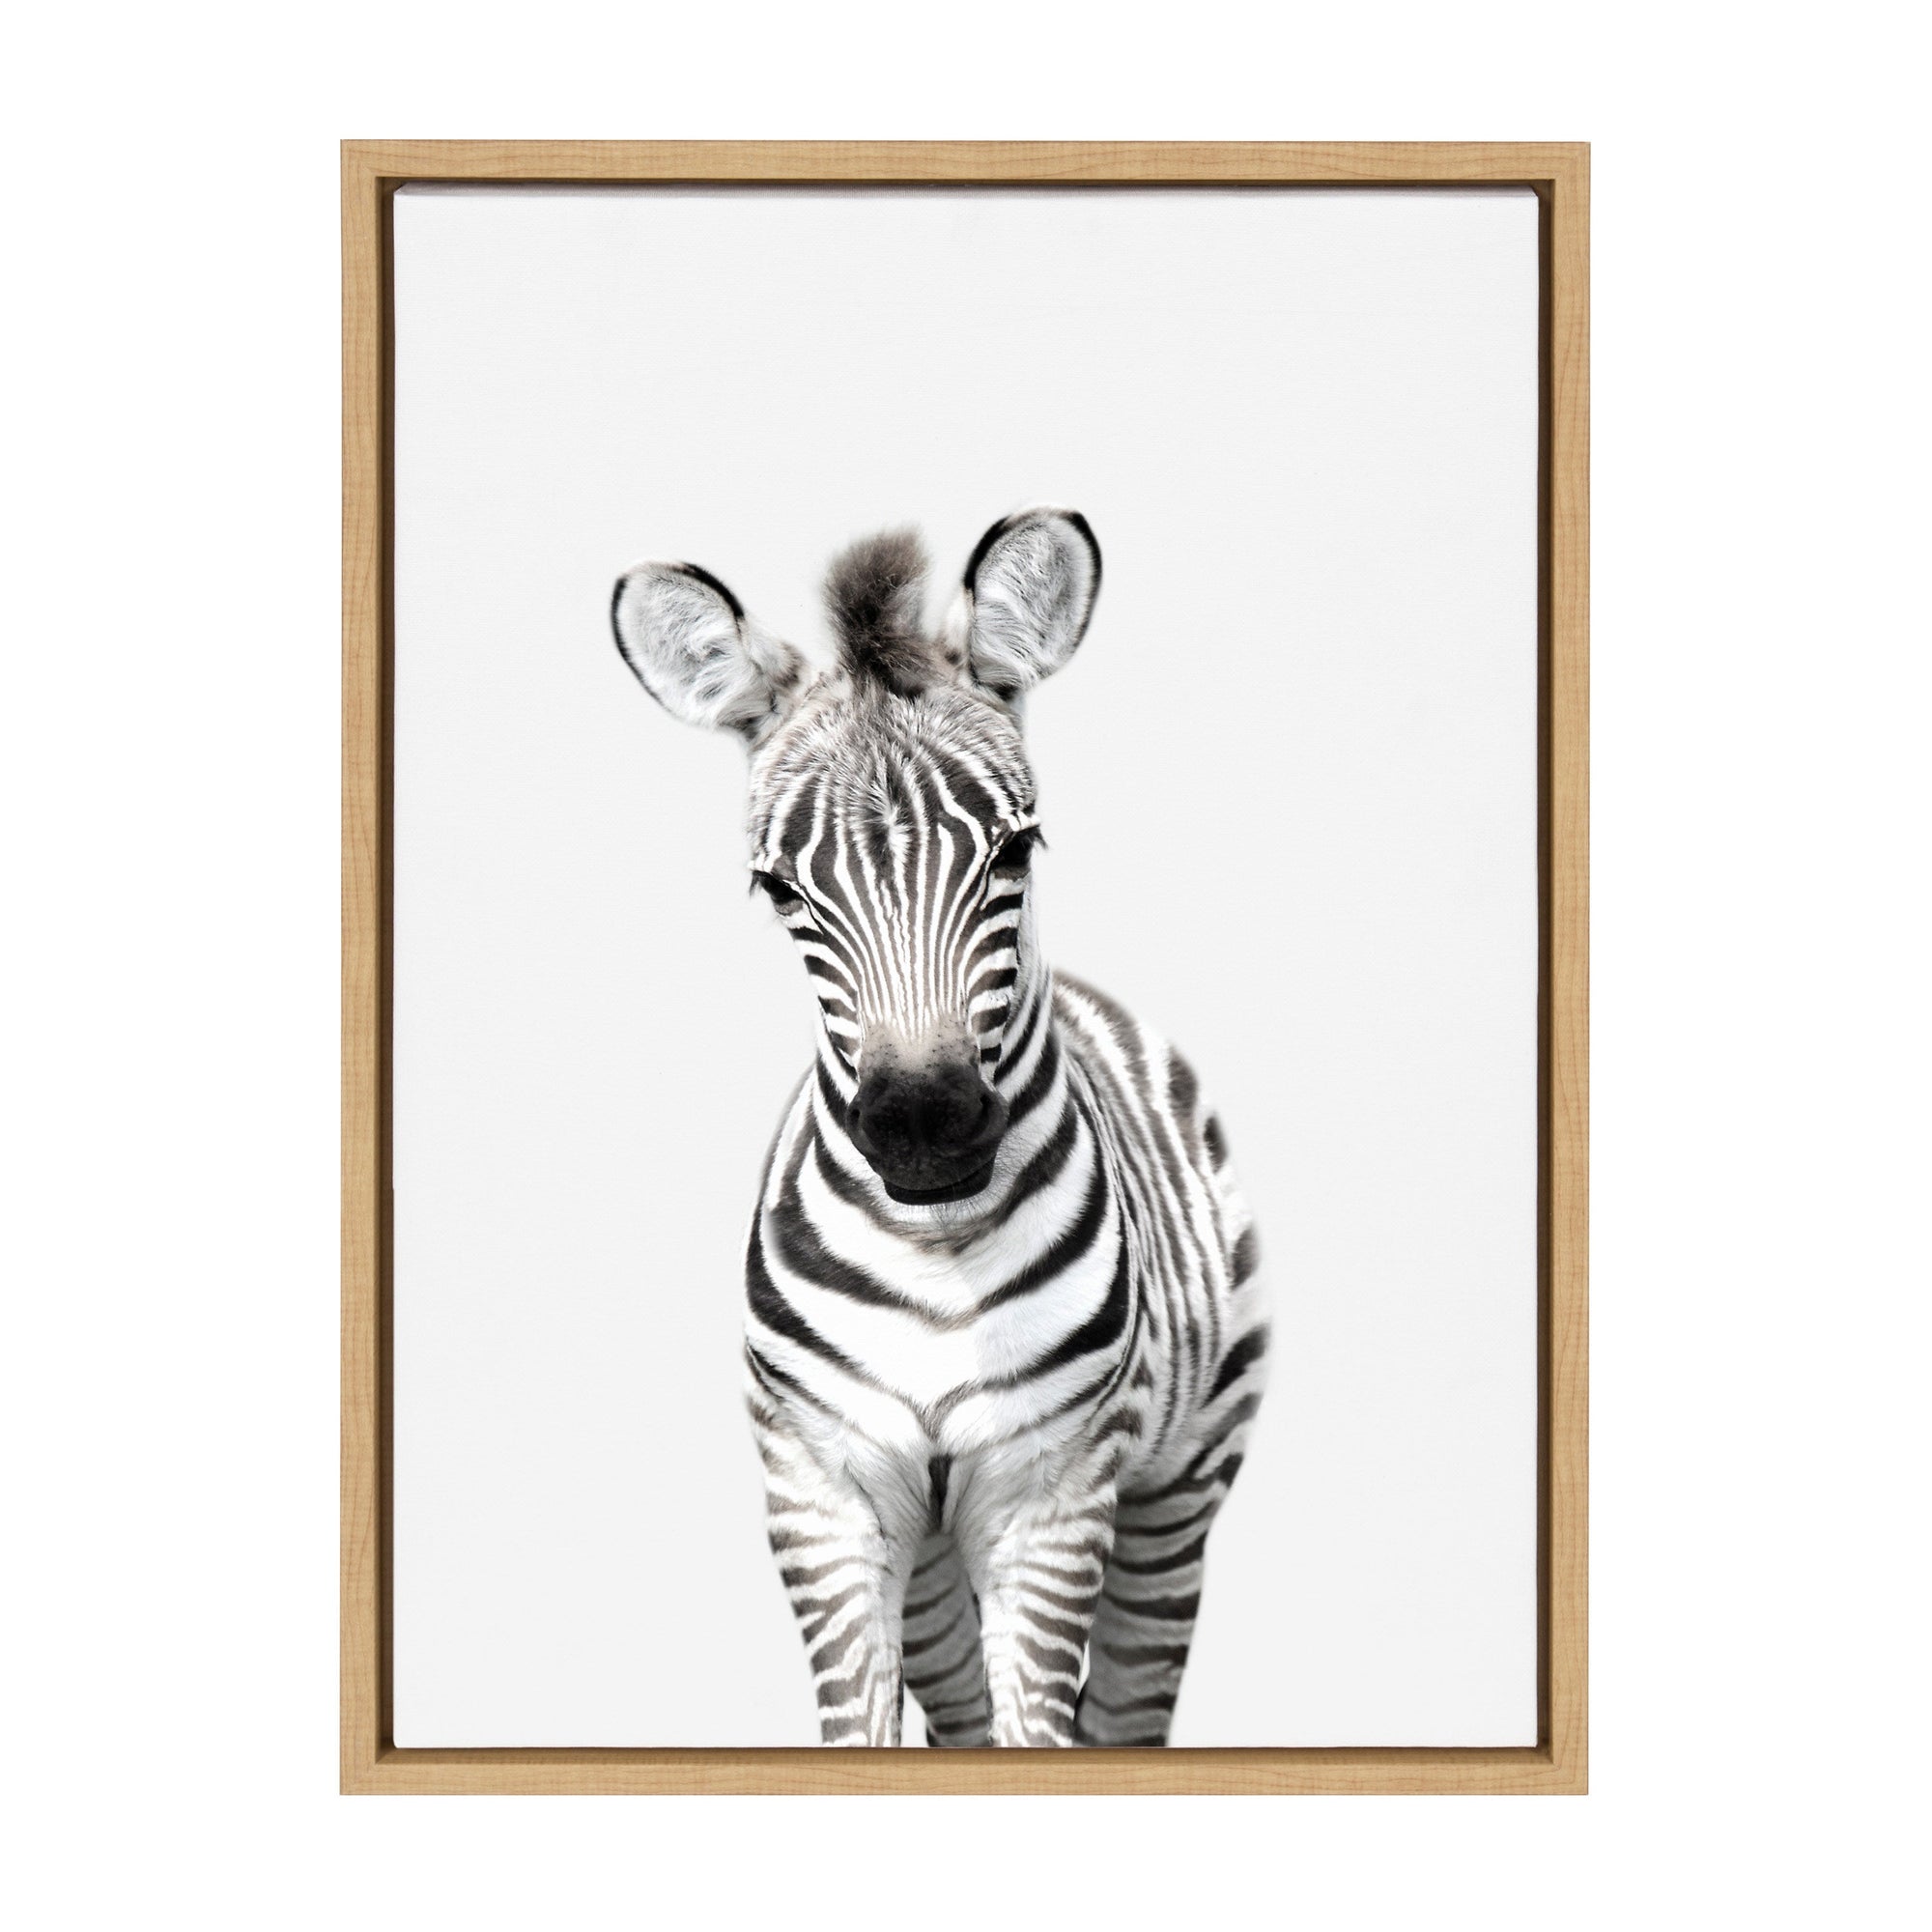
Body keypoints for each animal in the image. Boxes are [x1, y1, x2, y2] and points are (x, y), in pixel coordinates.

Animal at [611, 508, 1269, 1747]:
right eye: (778, 888)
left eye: (1016, 849)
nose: (924, 1129)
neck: (936, 1256)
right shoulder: (822, 1489)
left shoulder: (1052, 1492)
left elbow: (1043, 1731)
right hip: (924, 1556)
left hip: (1179, 1482)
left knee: (1126, 1707)